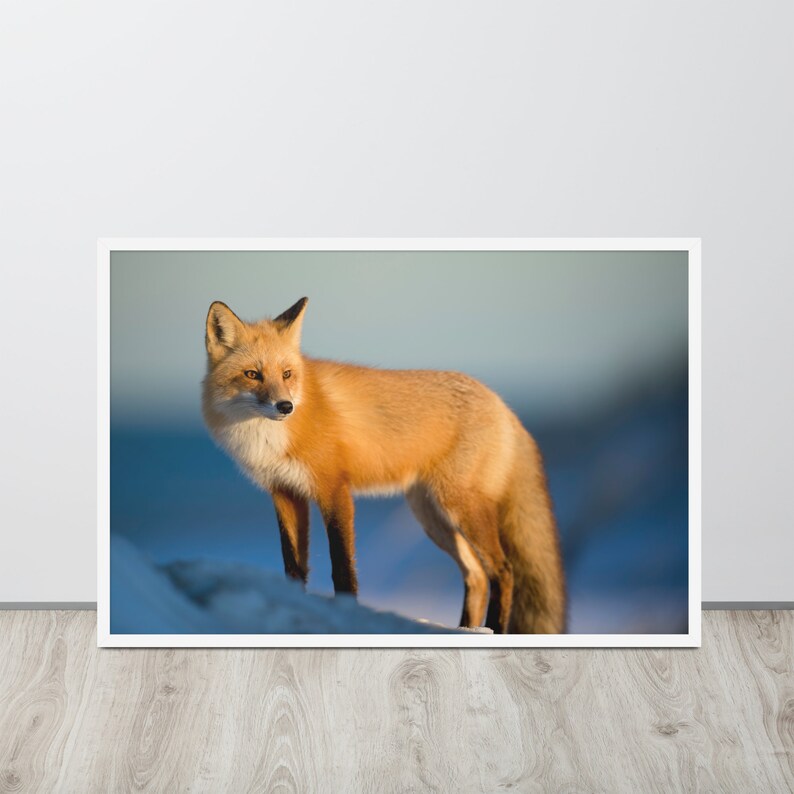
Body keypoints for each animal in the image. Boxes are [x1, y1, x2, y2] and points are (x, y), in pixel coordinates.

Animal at [202, 297, 566, 633]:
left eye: (287, 374)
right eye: (252, 374)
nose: (285, 406)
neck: (268, 438)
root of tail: (503, 405)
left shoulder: (334, 489)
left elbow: (342, 567)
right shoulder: (285, 493)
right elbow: (293, 567)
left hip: (460, 507)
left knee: (503, 571)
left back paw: (494, 629)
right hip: (432, 516)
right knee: (476, 575)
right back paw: (466, 629)